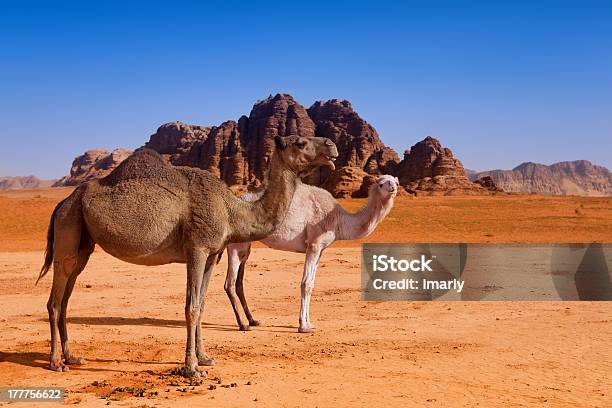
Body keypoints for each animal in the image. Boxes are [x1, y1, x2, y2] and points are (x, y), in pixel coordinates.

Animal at [37, 135, 340, 378]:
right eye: (300, 142)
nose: (331, 145)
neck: (232, 210)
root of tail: (62, 202)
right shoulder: (197, 248)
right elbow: (191, 308)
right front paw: (192, 368)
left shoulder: (212, 254)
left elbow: (201, 305)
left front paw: (205, 358)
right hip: (68, 227)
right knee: (54, 301)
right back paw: (56, 363)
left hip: (83, 244)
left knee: (66, 298)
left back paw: (72, 357)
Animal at [224, 175, 396, 332]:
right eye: (381, 184)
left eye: (395, 181)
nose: (393, 188)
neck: (338, 219)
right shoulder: (314, 244)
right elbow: (306, 283)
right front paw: (303, 326)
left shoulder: (321, 249)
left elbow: (312, 283)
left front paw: (309, 323)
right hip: (236, 244)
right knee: (229, 283)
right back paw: (243, 325)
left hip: (246, 245)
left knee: (239, 281)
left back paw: (253, 320)